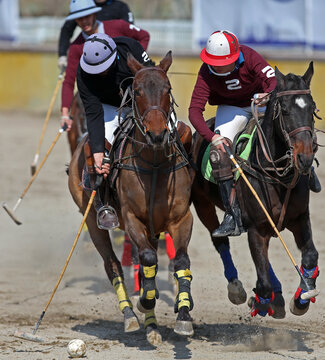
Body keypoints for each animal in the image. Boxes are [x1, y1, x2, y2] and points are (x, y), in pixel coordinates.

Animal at [67, 51, 195, 344]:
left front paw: (183, 313)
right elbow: (146, 259)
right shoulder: (132, 218)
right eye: (137, 91)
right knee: (113, 265)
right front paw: (145, 302)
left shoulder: (181, 218)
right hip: (92, 219)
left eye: (168, 89)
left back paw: (152, 326)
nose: (158, 135)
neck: (155, 164)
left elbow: (180, 261)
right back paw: (131, 316)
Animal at [191, 63, 318, 320]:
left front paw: (301, 298)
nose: (305, 158)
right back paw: (238, 289)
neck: (277, 174)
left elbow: (310, 256)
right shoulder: (256, 228)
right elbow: (263, 282)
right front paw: (260, 302)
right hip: (203, 205)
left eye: (312, 108)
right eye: (285, 110)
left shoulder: (299, 218)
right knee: (220, 241)